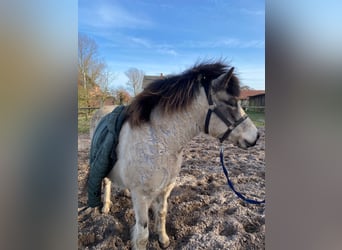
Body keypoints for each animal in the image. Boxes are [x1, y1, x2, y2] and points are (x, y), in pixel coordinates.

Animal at [92, 61, 258, 249]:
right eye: (231, 103)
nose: (256, 136)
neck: (159, 141)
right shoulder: (141, 197)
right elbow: (142, 235)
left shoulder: (166, 189)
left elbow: (162, 213)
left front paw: (163, 239)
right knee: (107, 181)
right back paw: (105, 206)